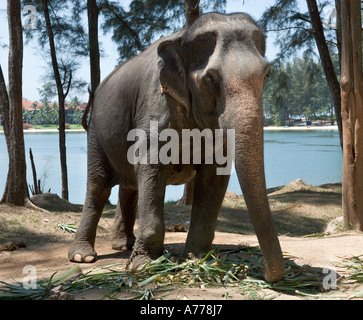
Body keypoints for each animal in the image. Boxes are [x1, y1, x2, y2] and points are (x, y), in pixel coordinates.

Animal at [68, 11, 284, 282]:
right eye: (211, 78)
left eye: (266, 74)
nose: (262, 271)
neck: (184, 36)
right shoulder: (156, 106)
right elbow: (151, 167)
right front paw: (145, 266)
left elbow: (214, 176)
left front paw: (200, 260)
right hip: (97, 132)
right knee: (98, 186)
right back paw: (83, 256)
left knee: (129, 186)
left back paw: (124, 244)